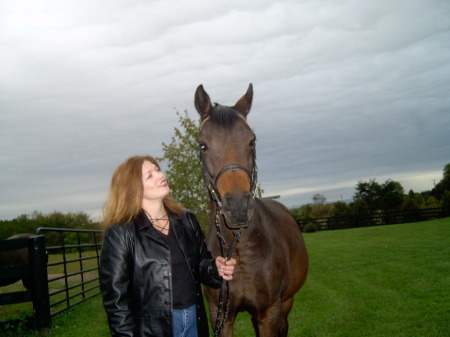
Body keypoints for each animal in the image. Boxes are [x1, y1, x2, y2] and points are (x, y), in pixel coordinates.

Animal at [194, 84, 310, 336]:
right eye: (202, 145)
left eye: (252, 141)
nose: (238, 206)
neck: (240, 252)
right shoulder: (221, 315)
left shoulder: (269, 313)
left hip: (286, 303)